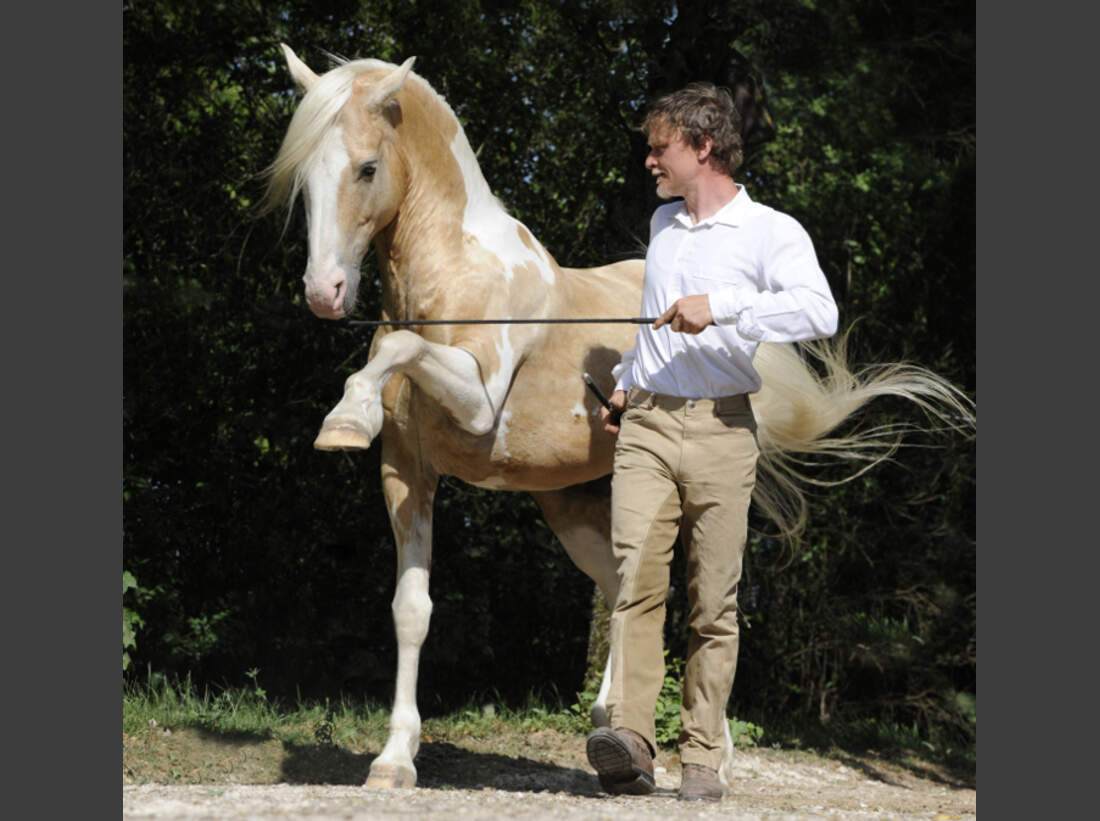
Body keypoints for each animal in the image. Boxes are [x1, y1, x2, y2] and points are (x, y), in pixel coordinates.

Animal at [262, 46, 974, 790]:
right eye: (304, 178)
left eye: (368, 167)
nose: (324, 292)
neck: (457, 282)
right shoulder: (408, 473)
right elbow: (412, 611)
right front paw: (394, 760)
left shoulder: (479, 402)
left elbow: (396, 350)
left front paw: (344, 417)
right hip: (577, 502)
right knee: (623, 587)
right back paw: (614, 725)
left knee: (695, 604)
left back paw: (708, 753)